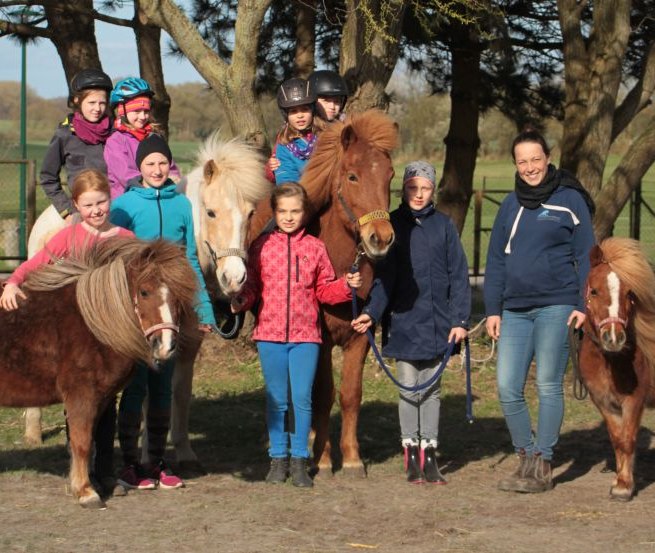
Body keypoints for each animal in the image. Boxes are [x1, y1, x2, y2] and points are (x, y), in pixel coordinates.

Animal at [1, 237, 199, 504]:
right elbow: (82, 442)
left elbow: (94, 440)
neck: (94, 323)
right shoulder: (81, 396)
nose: (166, 346)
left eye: (179, 295)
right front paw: (86, 491)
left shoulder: (101, 398)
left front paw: (98, 483)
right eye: (144, 291)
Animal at [251, 109, 400, 474]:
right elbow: (320, 394)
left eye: (389, 175)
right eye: (352, 176)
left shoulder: (361, 335)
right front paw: (321, 456)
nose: (381, 239)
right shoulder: (317, 339)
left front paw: (351, 458)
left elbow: (349, 394)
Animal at [580, 237, 655, 500]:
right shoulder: (604, 402)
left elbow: (628, 439)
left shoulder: (634, 401)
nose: (613, 338)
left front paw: (624, 486)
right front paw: (619, 481)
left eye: (630, 293)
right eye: (594, 291)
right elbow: (617, 439)